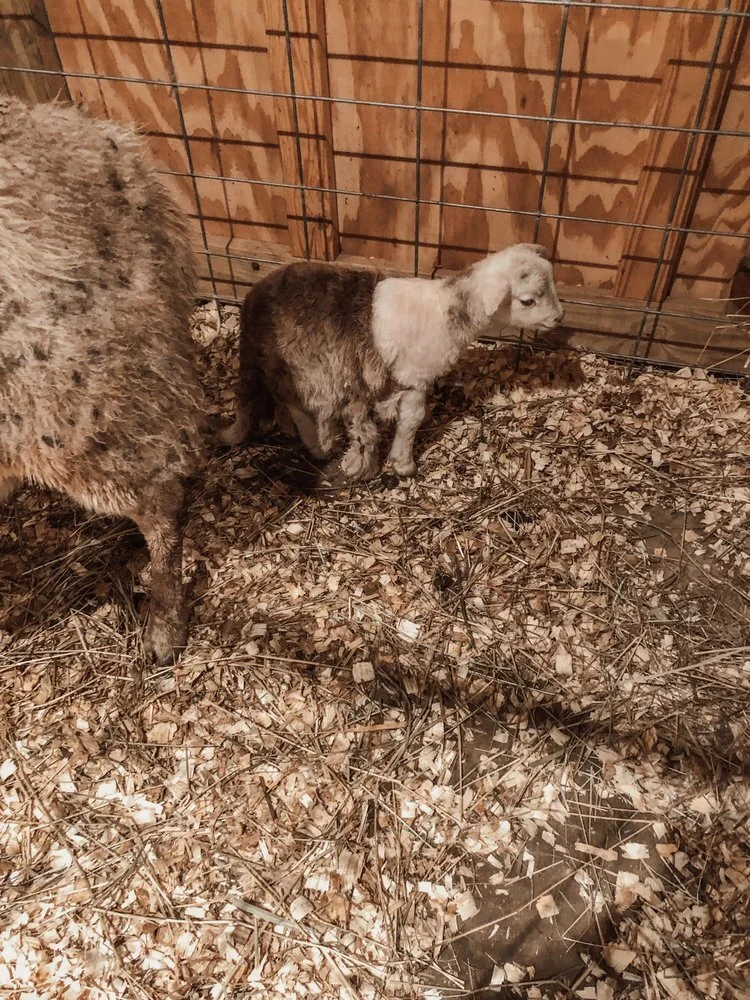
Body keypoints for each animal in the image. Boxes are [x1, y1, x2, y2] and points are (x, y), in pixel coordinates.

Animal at [221, 244, 564, 479]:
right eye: (528, 300)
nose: (560, 318)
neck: (448, 313)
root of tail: (251, 303)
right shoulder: (414, 377)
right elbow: (412, 419)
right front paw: (403, 464)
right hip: (306, 367)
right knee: (301, 404)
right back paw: (319, 445)